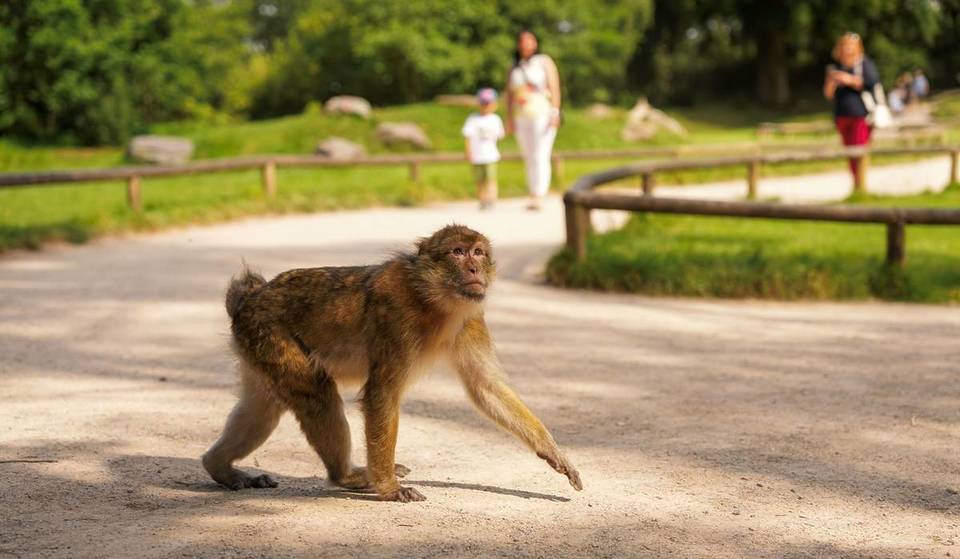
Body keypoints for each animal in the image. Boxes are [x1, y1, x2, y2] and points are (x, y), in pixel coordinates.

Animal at [202, 224, 582, 502]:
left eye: (478, 252)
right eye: (457, 252)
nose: (475, 268)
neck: (433, 301)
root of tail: (249, 299)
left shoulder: (471, 320)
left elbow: (486, 388)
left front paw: (553, 452)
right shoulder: (397, 320)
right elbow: (381, 394)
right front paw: (387, 487)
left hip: (256, 347)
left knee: (263, 409)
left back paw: (218, 467)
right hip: (268, 334)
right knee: (317, 394)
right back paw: (349, 476)